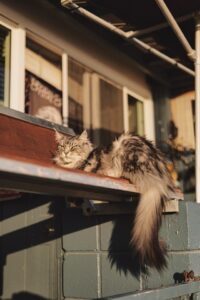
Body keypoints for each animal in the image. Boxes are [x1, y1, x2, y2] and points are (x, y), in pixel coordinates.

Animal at [53, 130, 175, 270]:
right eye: (62, 146)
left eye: (74, 147)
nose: (66, 152)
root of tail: (159, 178)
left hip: (122, 147)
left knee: (117, 172)